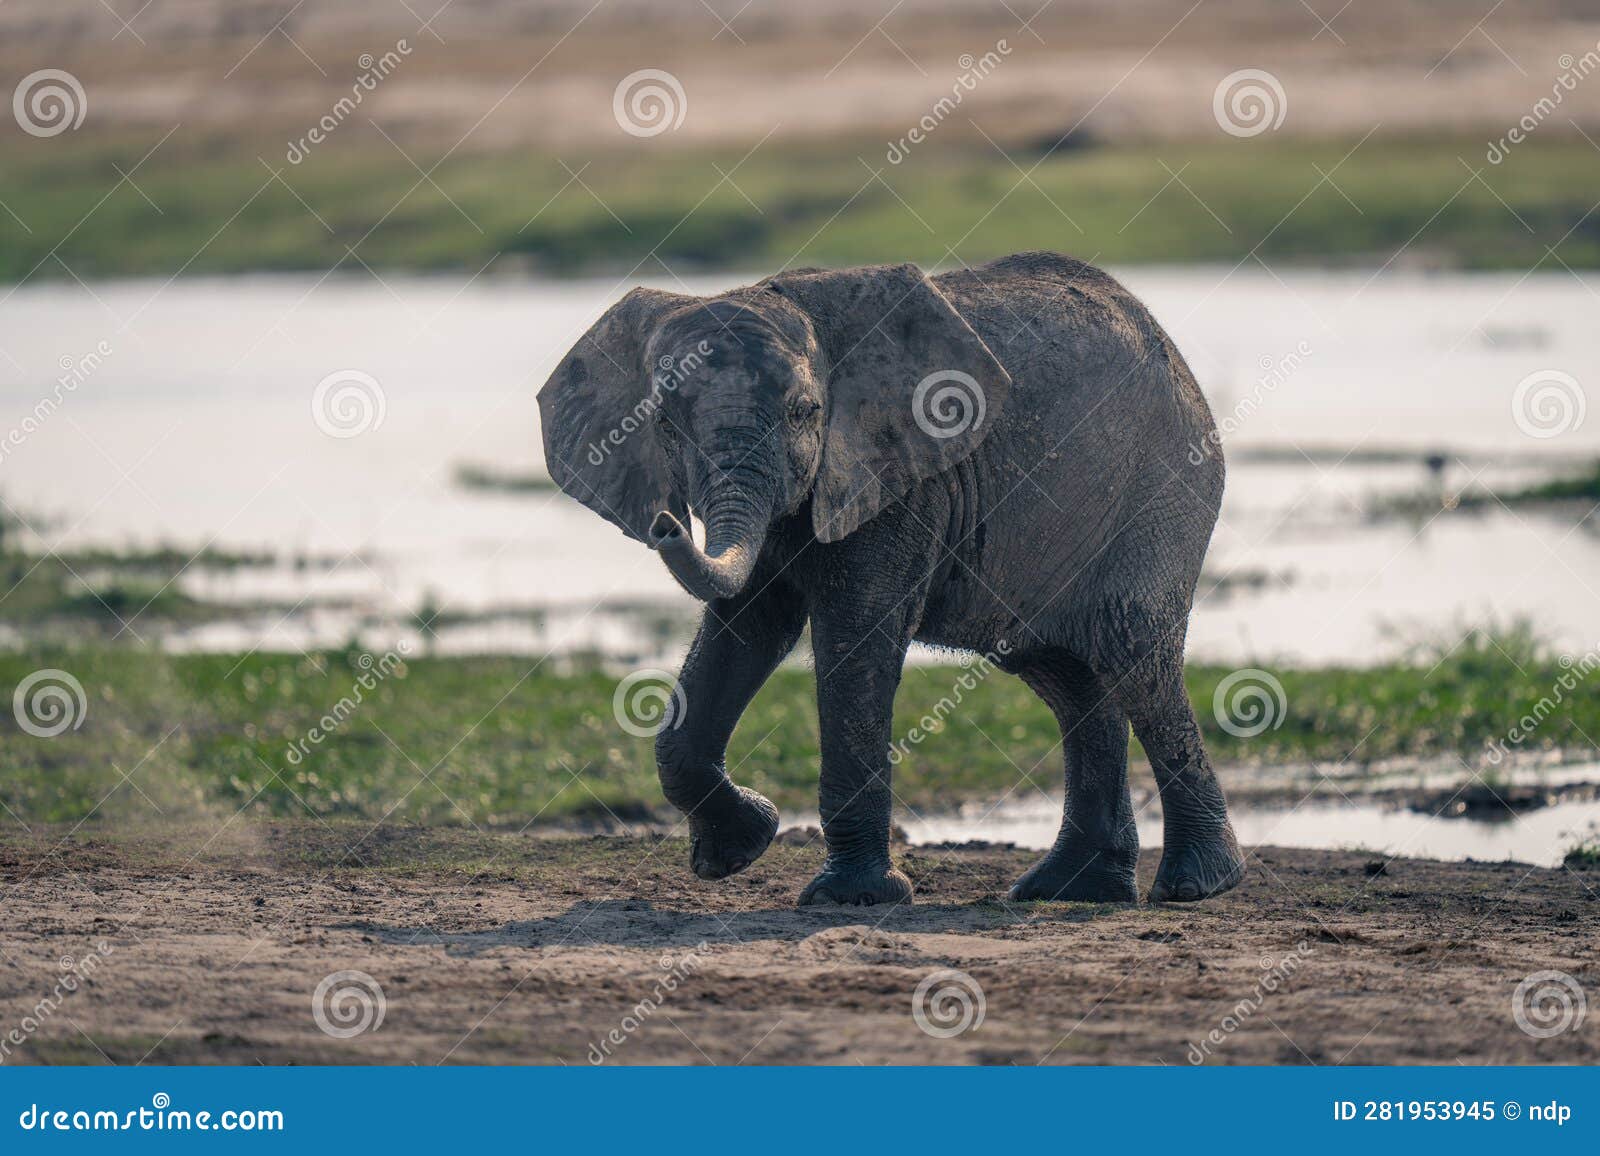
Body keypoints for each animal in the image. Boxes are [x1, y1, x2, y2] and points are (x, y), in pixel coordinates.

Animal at [538, 251, 1244, 907]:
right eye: (661, 422)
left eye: (805, 412)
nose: (665, 524)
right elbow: (749, 627)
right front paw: (738, 850)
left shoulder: (901, 477)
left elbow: (856, 636)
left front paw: (851, 896)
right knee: (1068, 677)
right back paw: (1070, 889)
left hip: (1164, 488)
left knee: (1132, 655)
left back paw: (1196, 885)